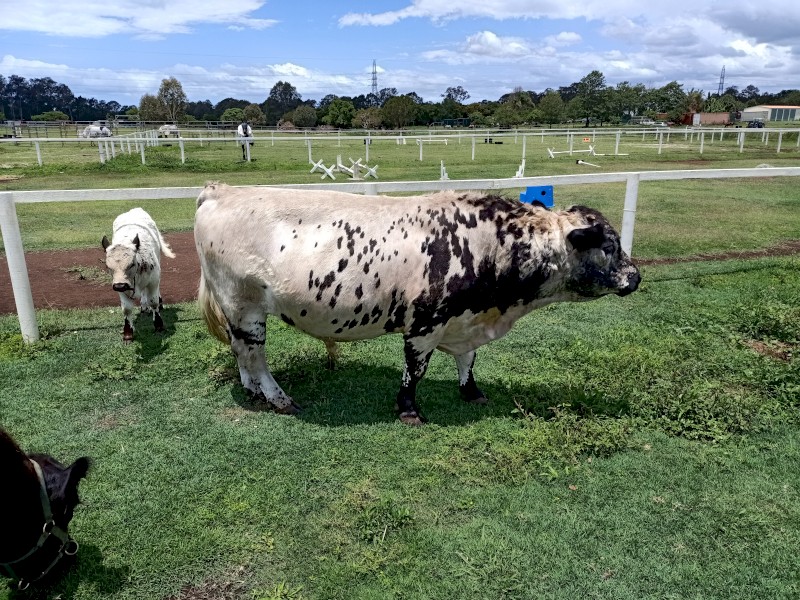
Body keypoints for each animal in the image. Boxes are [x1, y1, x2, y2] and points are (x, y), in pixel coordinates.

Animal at [102, 208, 175, 342]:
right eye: (108, 266)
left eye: (131, 264)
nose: (120, 286)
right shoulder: (121, 287)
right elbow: (126, 309)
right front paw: (128, 333)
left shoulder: (153, 281)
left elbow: (154, 302)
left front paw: (159, 325)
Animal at [194, 183, 640, 425]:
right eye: (609, 245)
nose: (636, 276)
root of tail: (221, 191)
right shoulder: (425, 324)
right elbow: (415, 371)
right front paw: (409, 409)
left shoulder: (464, 320)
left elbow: (468, 362)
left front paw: (472, 392)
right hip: (245, 304)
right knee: (255, 355)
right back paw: (277, 397)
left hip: (237, 310)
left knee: (241, 352)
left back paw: (252, 390)